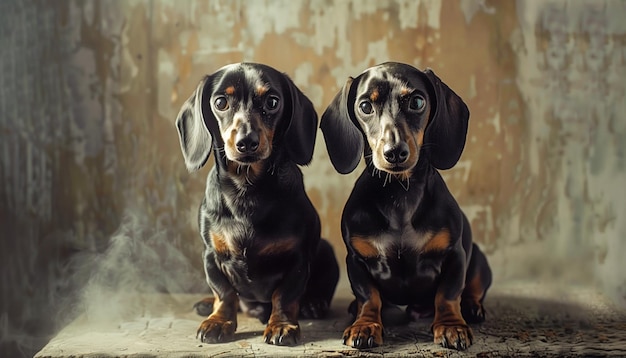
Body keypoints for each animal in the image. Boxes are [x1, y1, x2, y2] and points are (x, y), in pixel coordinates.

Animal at [176, 63, 338, 346]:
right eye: (220, 102)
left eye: (272, 102)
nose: (246, 142)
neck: (246, 189)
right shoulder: (211, 255)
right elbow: (224, 293)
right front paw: (219, 321)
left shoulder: (297, 259)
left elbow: (284, 296)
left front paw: (281, 325)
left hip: (327, 250)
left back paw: (314, 304)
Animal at [320, 63, 490, 352]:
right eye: (365, 106)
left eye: (417, 102)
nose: (395, 152)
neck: (400, 193)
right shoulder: (356, 259)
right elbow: (369, 297)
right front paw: (365, 325)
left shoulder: (455, 254)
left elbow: (448, 294)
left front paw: (451, 326)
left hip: (479, 259)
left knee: (473, 288)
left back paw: (471, 307)